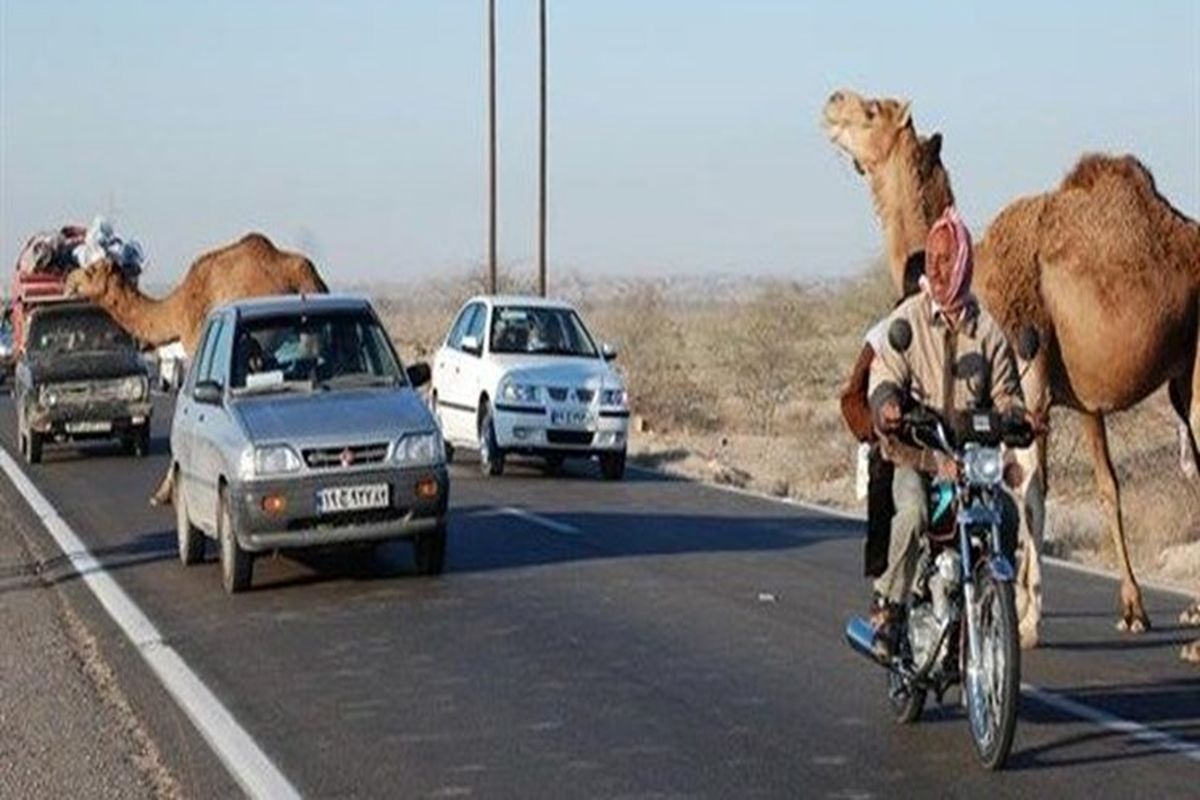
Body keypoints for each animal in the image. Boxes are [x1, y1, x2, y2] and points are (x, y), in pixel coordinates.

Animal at [65, 231, 328, 503]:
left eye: (91, 270)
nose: (69, 280)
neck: (175, 308)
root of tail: (305, 278)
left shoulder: (197, 346)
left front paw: (164, 492)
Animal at [820, 90, 1200, 662]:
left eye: (872, 111)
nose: (832, 102)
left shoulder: (1027, 372)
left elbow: (1028, 491)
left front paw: (1024, 621)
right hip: (1182, 375)